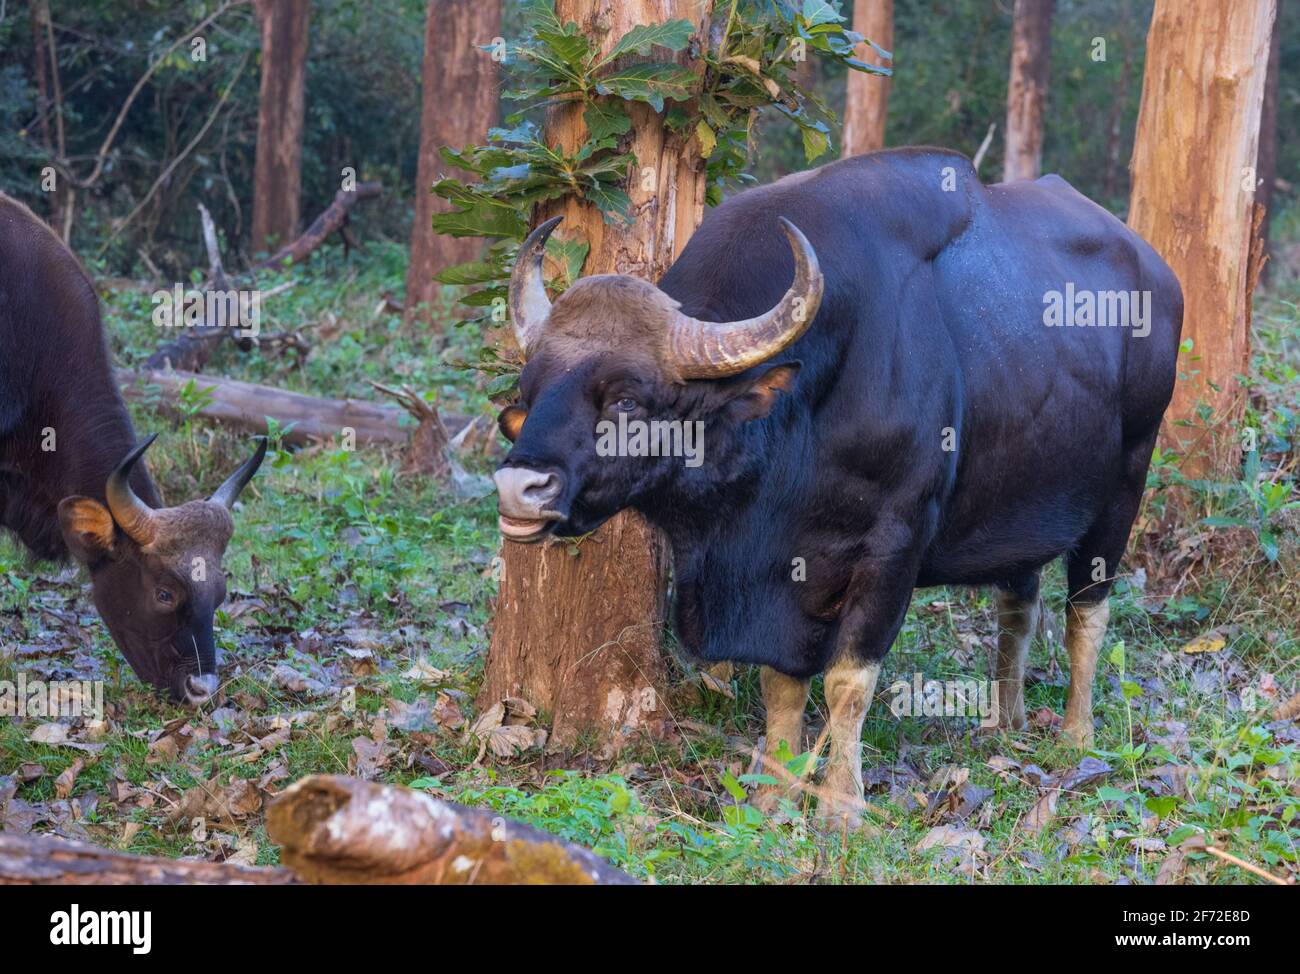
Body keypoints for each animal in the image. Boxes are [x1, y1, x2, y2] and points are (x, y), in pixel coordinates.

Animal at [493, 148, 1182, 823]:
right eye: (531, 390)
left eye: (628, 400)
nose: (518, 486)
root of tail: (1158, 276)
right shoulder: (776, 576)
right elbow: (781, 683)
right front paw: (773, 794)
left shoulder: (893, 547)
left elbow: (849, 681)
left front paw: (841, 806)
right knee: (1019, 602)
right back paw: (1003, 721)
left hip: (1125, 482)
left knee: (1087, 609)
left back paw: (1075, 735)